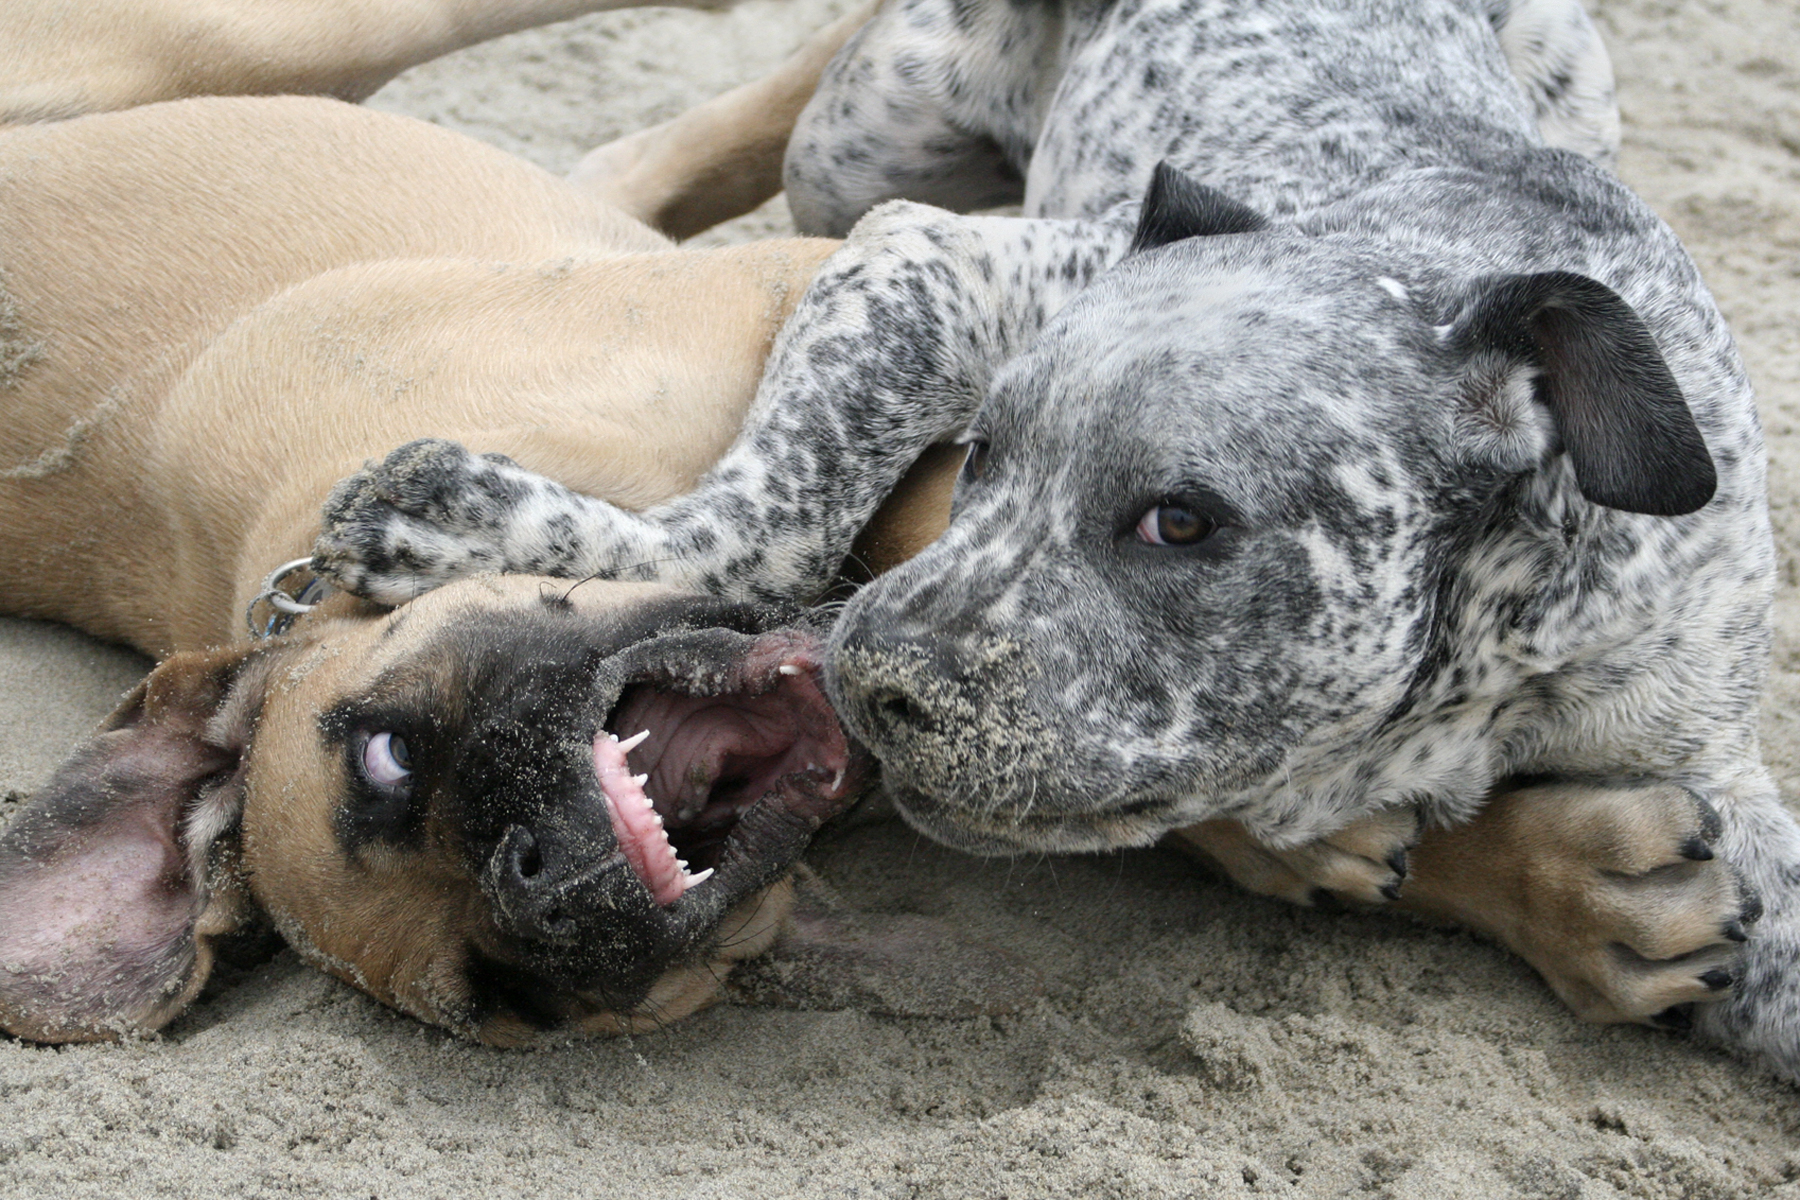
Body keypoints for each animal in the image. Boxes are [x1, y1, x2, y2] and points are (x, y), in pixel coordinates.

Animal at [316, 0, 1792, 1079]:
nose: (868, 680)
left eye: (1180, 522)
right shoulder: (938, 260)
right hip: (865, 147)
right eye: (980, 453)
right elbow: (773, 512)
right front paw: (487, 525)